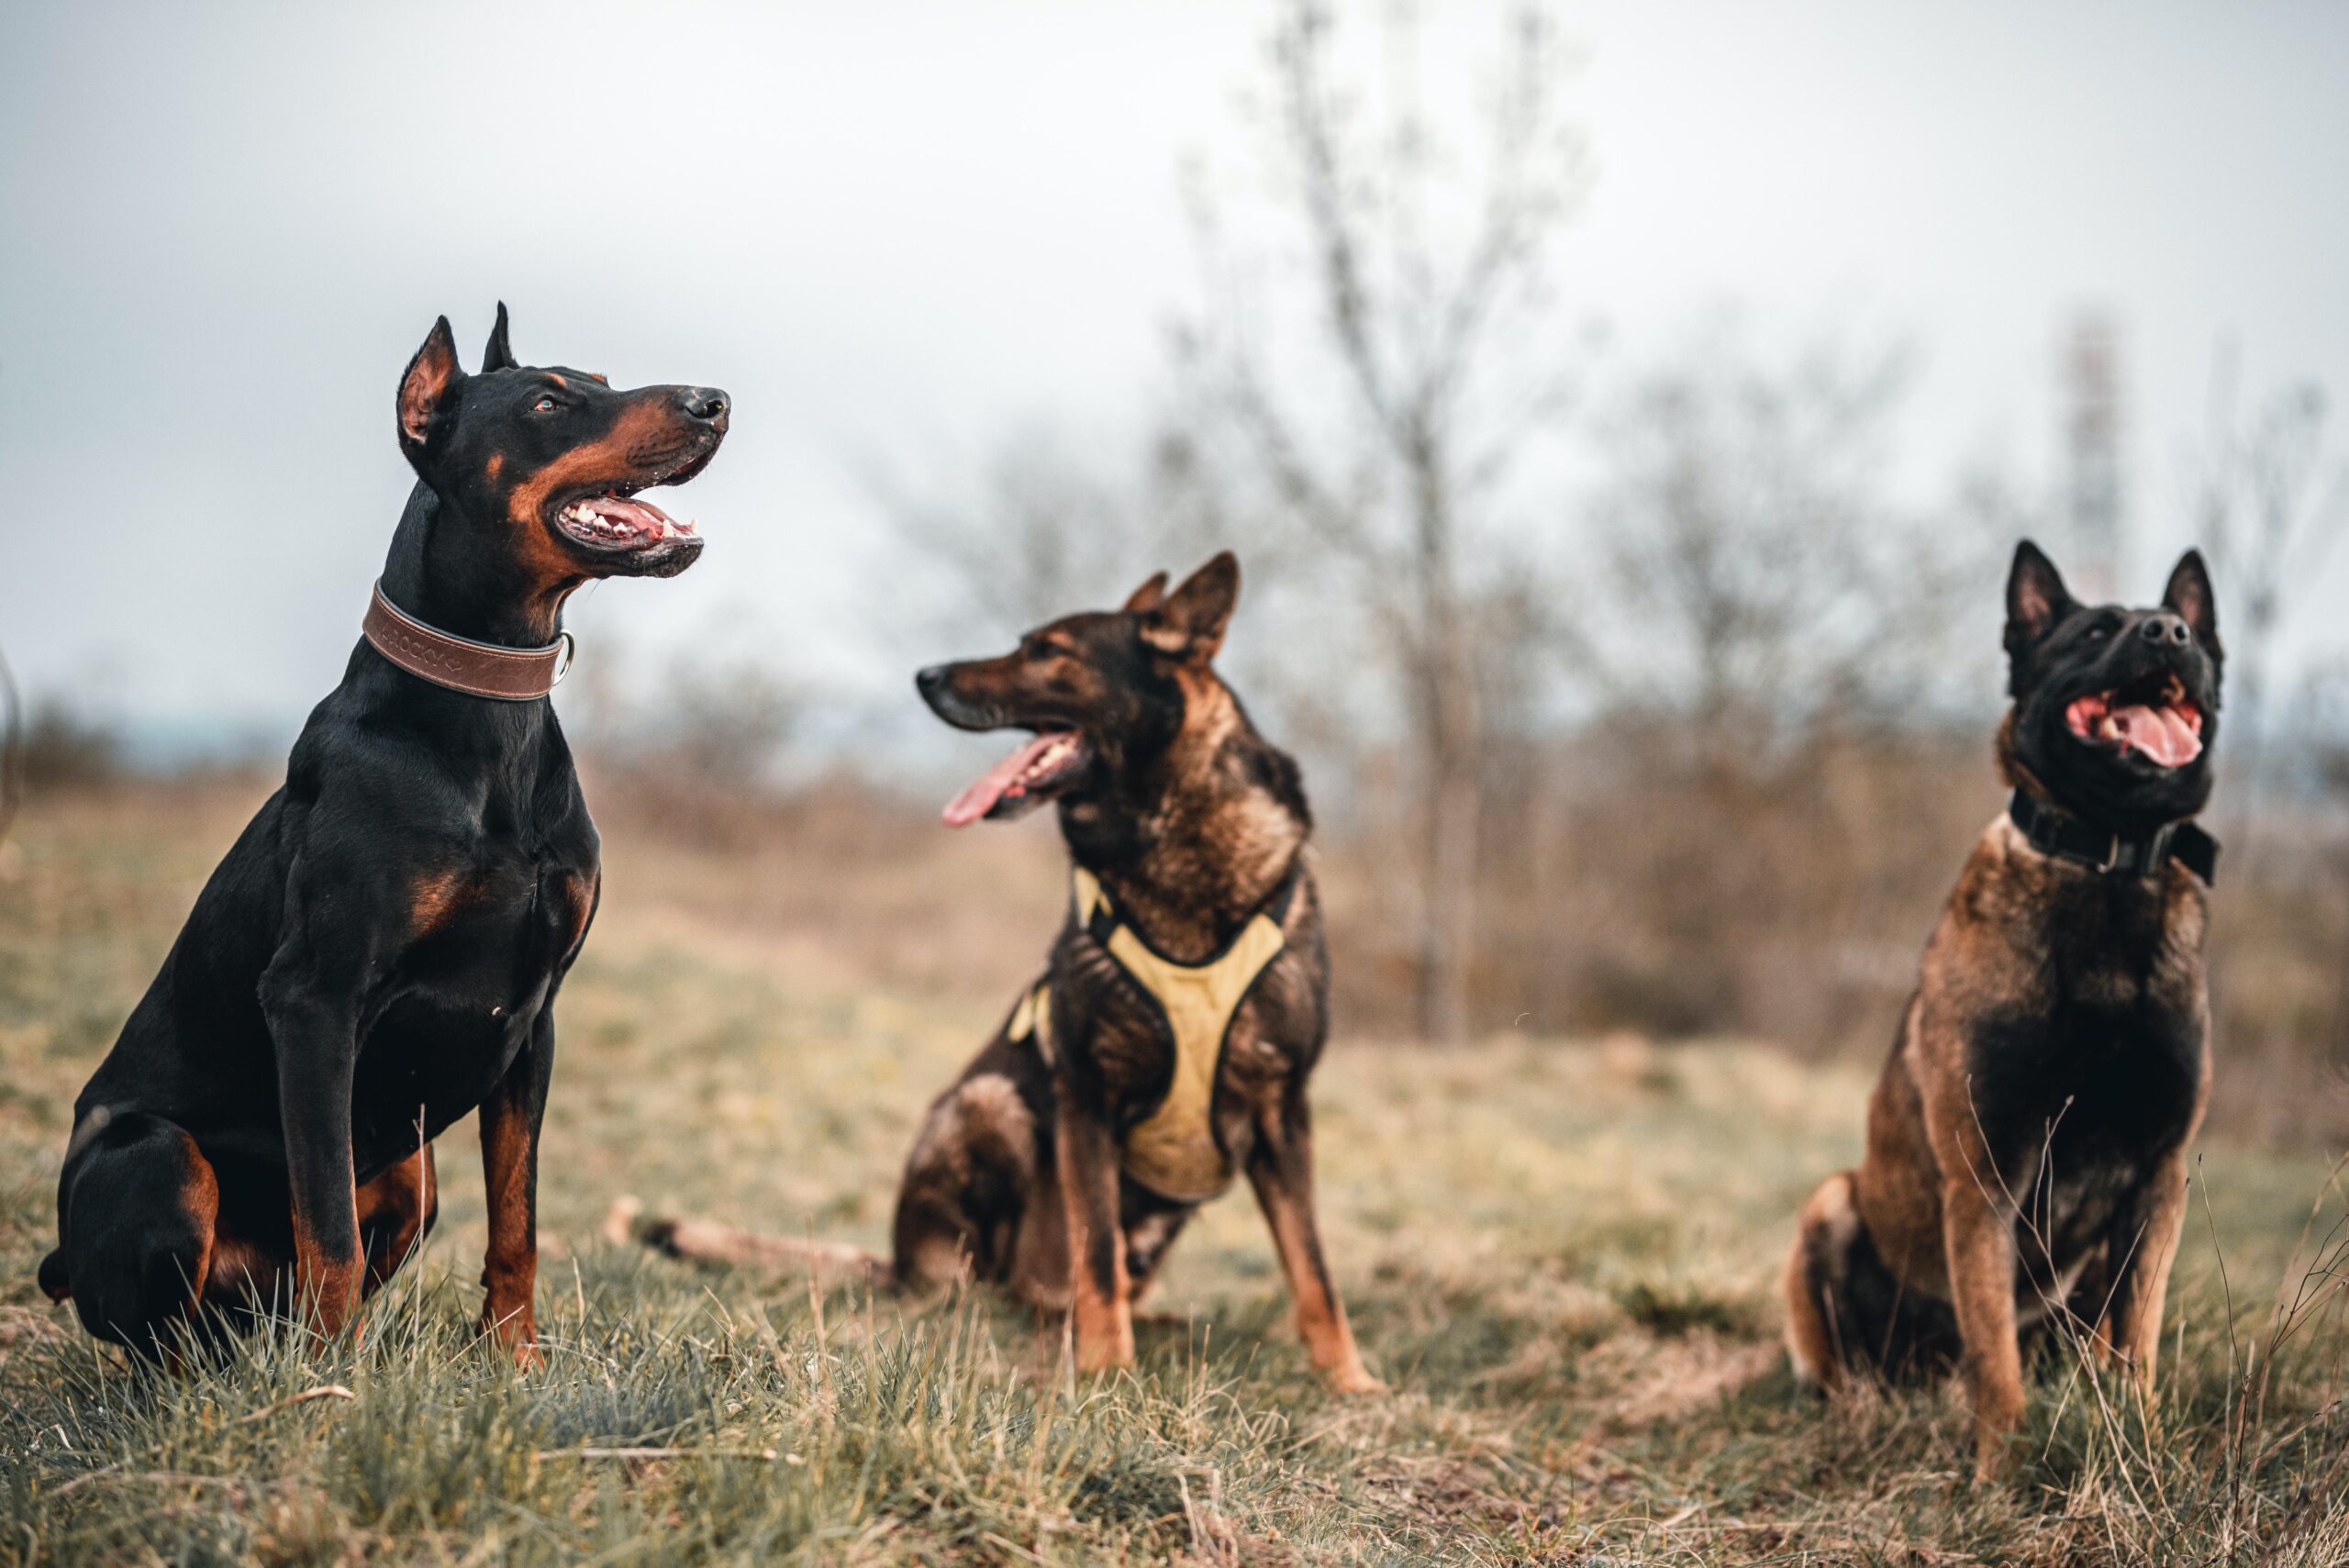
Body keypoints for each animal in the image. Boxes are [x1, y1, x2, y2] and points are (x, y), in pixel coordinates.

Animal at [634, 556, 1381, 1389]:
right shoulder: (1087, 1095)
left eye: (1049, 650)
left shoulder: (1284, 1114)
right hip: (990, 1104)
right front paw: (1107, 1372)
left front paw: (1350, 1381)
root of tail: (895, 1260)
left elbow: (1313, 1269)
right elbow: (1096, 1253)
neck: (1167, 843)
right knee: (1005, 1286)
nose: (925, 676)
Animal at [1776, 535, 2217, 1473]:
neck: (2107, 863)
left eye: (2188, 630)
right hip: (1831, 1204)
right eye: (2096, 631)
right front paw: (2001, 1477)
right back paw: (1861, 1413)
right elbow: (1996, 1357)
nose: (2168, 634)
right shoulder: (1985, 1176)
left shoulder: (2158, 1179)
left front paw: (2142, 1444)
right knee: (1850, 1365)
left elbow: (2138, 1338)